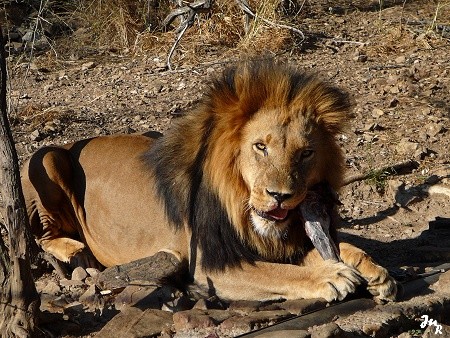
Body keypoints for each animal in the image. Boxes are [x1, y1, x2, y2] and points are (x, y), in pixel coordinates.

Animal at [22, 59, 398, 302]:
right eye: (260, 146)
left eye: (305, 153)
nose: (280, 196)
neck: (241, 202)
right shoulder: (210, 266)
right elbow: (277, 273)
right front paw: (331, 276)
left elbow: (339, 246)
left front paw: (373, 269)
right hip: (48, 159)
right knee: (42, 236)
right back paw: (74, 249)